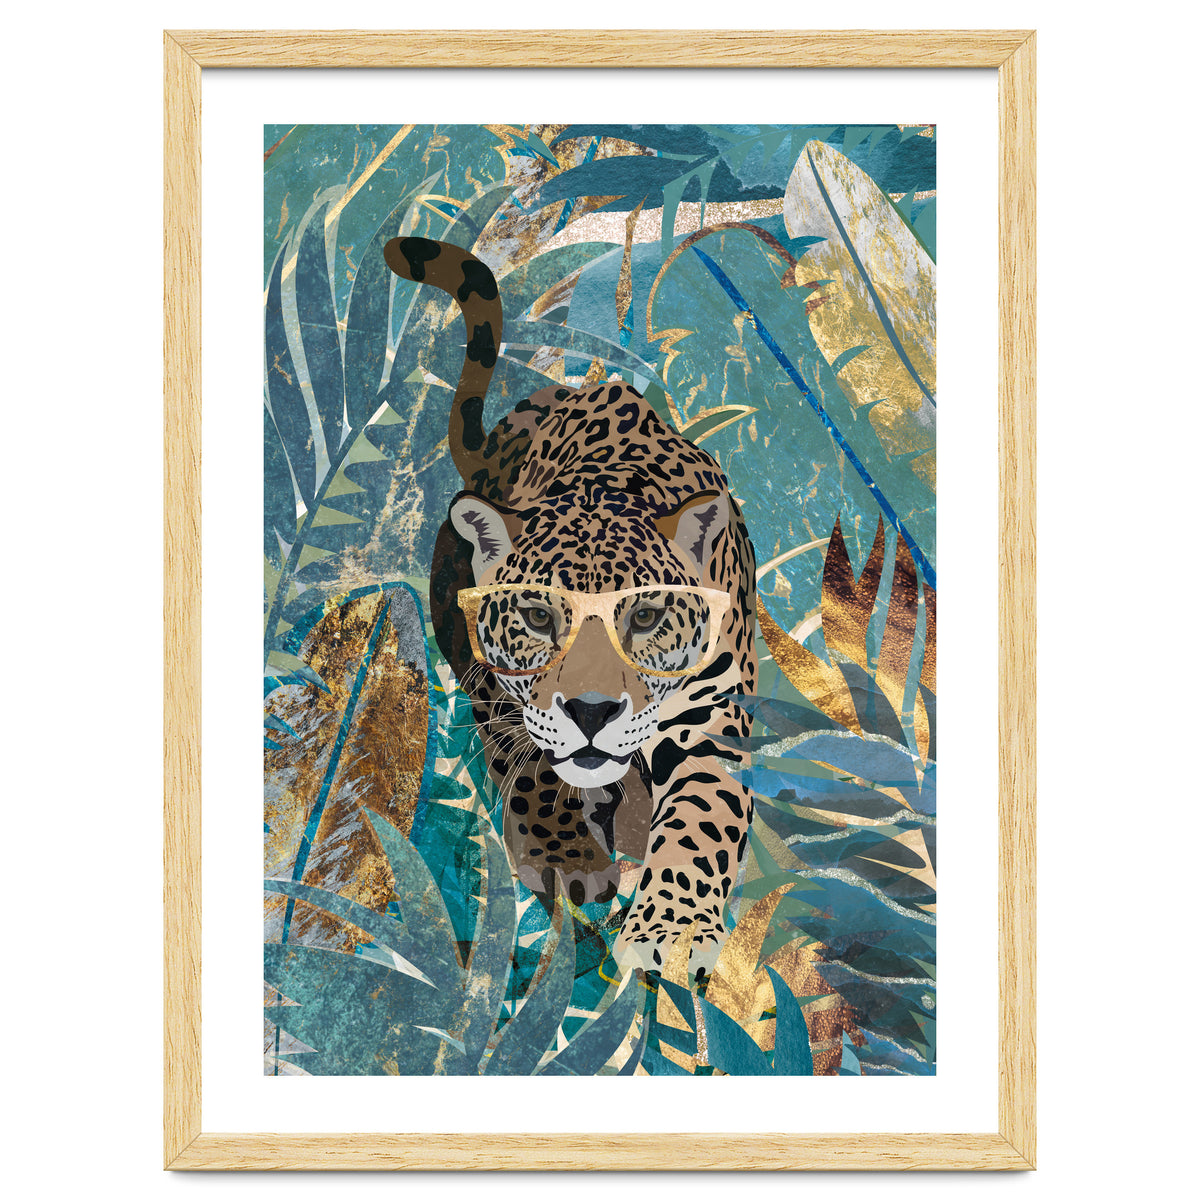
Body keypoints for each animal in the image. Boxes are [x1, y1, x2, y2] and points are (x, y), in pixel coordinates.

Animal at [383, 235, 758, 974]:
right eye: (537, 616)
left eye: (645, 617)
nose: (590, 712)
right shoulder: (496, 683)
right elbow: (529, 762)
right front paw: (566, 857)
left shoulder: (712, 717)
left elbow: (703, 818)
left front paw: (672, 931)